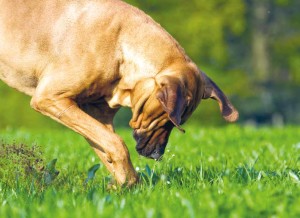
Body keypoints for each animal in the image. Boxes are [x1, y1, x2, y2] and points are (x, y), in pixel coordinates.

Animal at [0, 0, 239, 187]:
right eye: (167, 121)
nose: (157, 154)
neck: (122, 47)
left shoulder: (98, 115)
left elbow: (107, 147)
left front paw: (124, 185)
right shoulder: (51, 98)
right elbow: (117, 144)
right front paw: (127, 183)